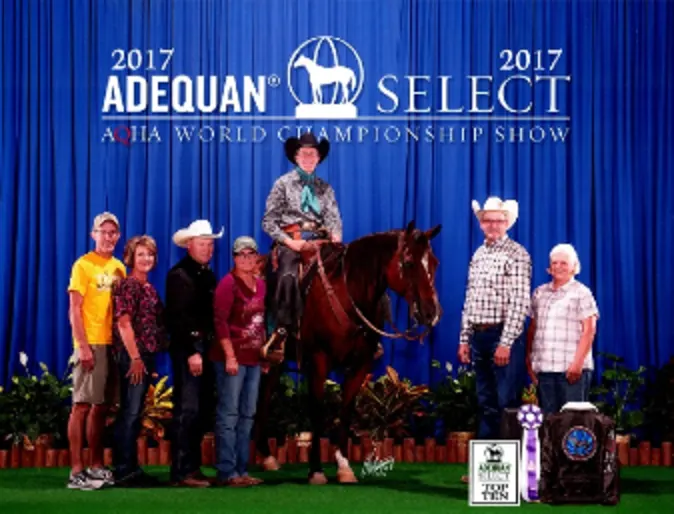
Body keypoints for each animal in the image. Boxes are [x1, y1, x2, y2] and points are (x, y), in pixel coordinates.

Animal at [252, 221, 440, 484]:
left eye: (434, 263)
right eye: (410, 262)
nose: (431, 312)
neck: (347, 293)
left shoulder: (361, 366)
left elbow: (347, 410)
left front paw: (343, 466)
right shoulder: (318, 362)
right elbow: (318, 410)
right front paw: (316, 470)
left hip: (274, 363)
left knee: (264, 394)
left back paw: (267, 457)